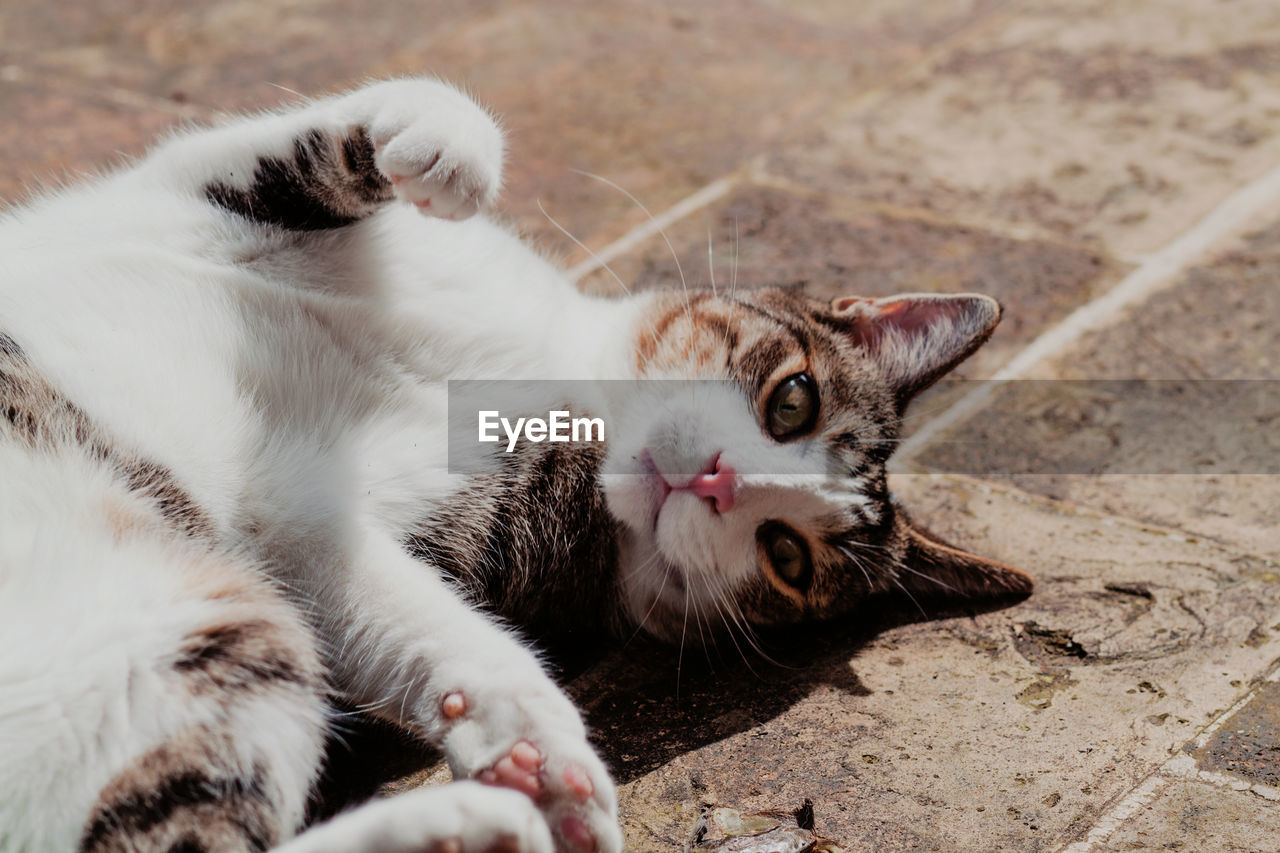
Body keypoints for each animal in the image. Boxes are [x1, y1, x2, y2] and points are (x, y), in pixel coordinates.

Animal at [0, 78, 1029, 850]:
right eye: (792, 399)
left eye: (785, 556)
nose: (717, 479)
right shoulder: (194, 202)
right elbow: (289, 150)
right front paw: (443, 145)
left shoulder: (330, 538)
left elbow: (414, 618)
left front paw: (539, 751)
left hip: (228, 632)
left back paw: (465, 825)